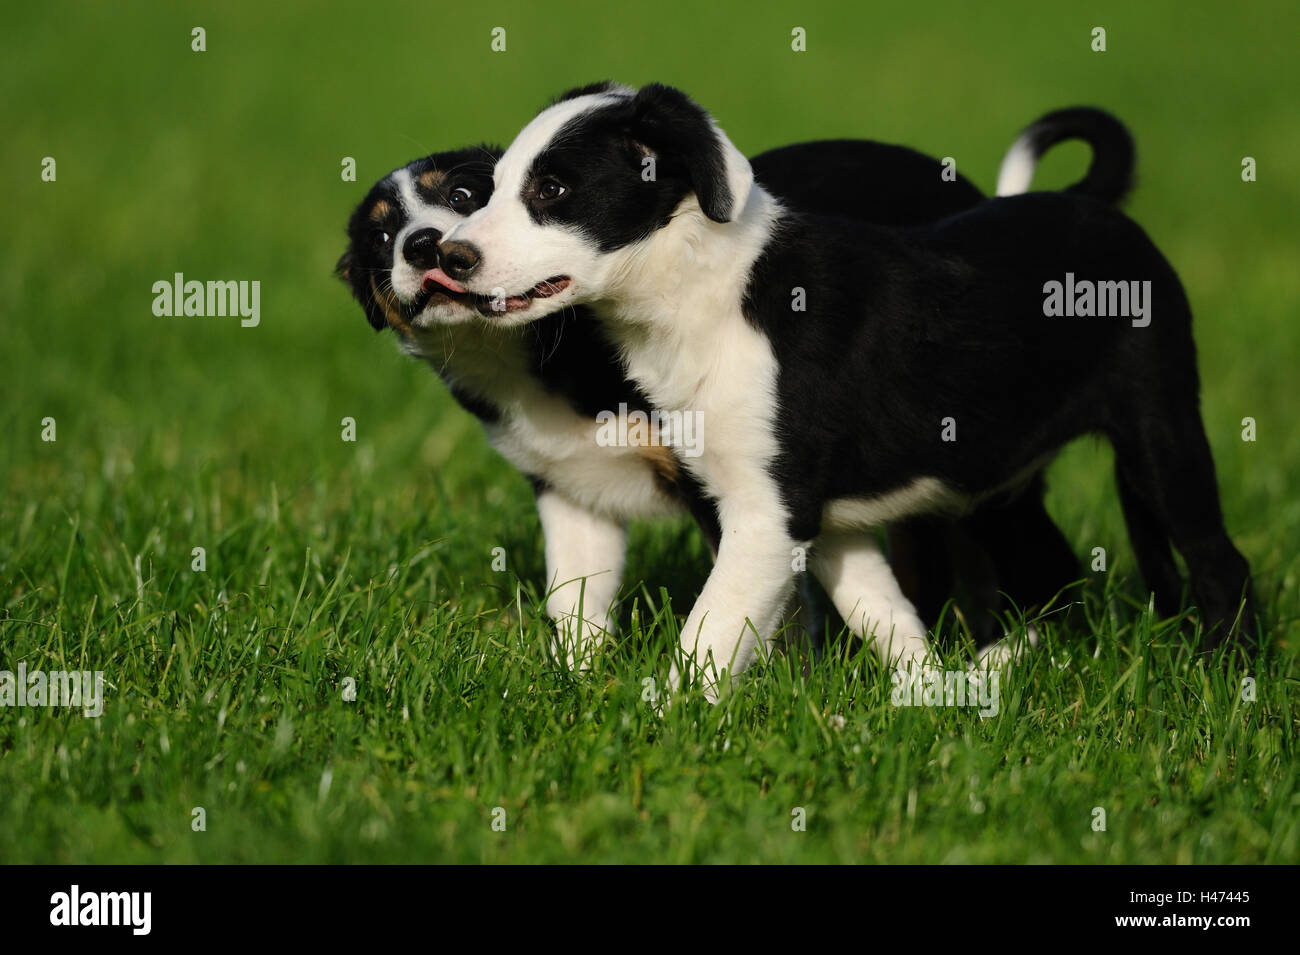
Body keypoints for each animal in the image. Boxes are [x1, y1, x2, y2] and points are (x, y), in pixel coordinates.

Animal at [436, 83, 1258, 696]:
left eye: (552, 189)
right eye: (491, 187)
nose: (450, 255)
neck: (706, 290)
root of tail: (1096, 206)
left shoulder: (769, 512)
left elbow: (710, 634)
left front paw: (662, 726)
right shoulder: (823, 517)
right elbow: (881, 610)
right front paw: (928, 695)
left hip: (1160, 431)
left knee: (1223, 565)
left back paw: (1229, 685)